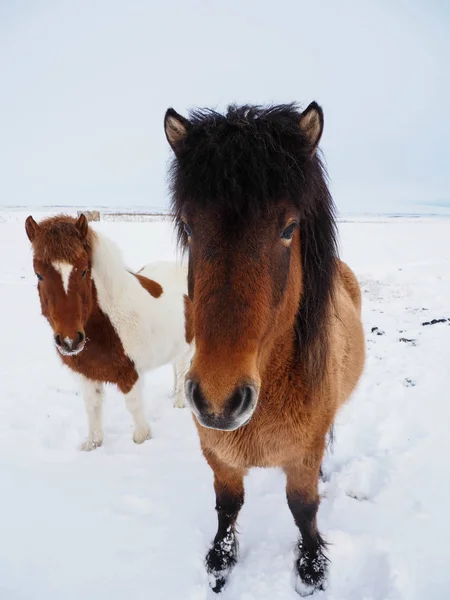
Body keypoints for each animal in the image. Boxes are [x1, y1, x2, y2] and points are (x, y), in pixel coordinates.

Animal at [26, 216, 192, 450]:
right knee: (176, 368)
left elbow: (134, 407)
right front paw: (93, 444)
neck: (107, 323)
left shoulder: (130, 374)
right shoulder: (86, 376)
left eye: (84, 270)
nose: (70, 341)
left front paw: (142, 438)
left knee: (184, 369)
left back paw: (179, 402)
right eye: (39, 274)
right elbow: (93, 409)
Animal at [165, 104, 366, 596]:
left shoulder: (303, 455)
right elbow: (228, 504)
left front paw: (311, 568)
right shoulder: (218, 452)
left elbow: (303, 507)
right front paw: (220, 561)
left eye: (289, 227)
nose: (218, 401)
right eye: (188, 226)